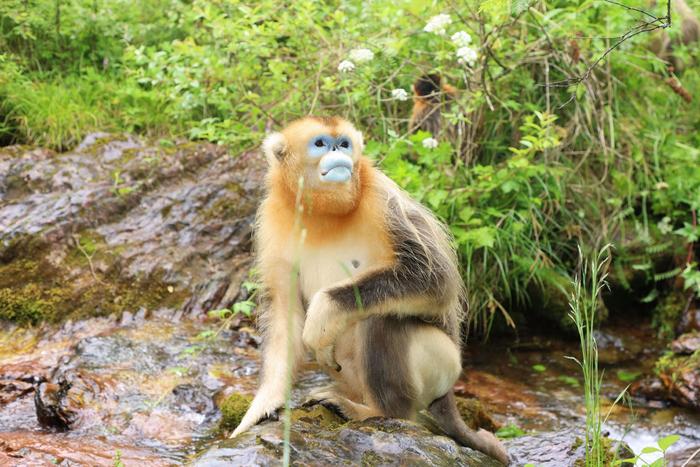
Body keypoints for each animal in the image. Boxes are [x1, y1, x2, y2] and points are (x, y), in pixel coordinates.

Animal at [232, 115, 512, 466]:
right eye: (321, 144)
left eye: (344, 143)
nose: (338, 152)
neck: (324, 214)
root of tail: (448, 395)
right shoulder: (271, 221)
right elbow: (284, 311)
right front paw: (263, 404)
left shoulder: (383, 199)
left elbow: (436, 279)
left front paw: (325, 312)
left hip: (445, 366)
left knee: (382, 320)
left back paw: (377, 412)